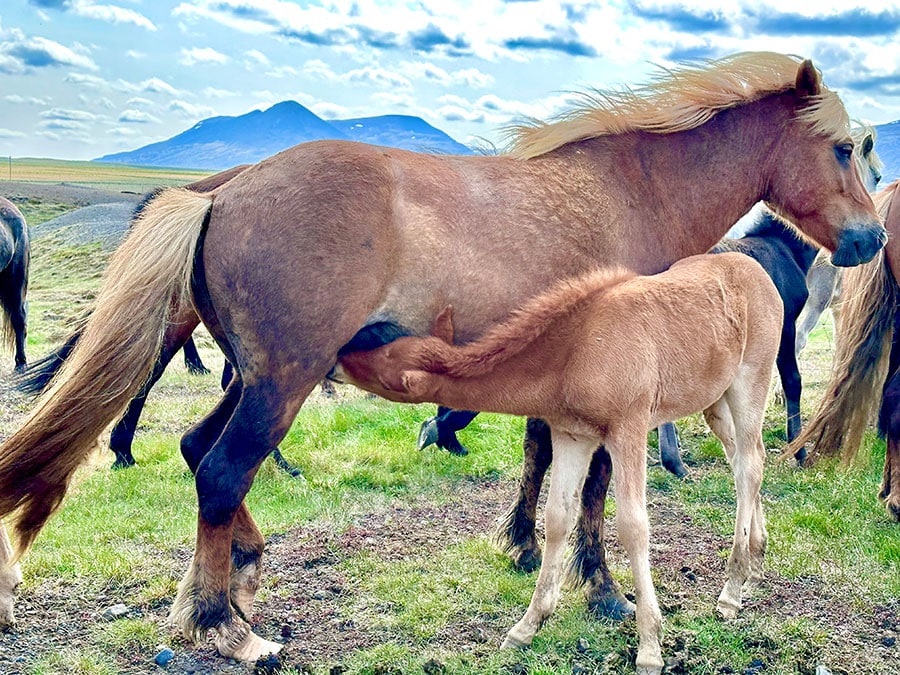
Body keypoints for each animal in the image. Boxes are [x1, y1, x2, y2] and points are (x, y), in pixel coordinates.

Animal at [338, 255, 780, 675]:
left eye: (384, 368)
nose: (342, 355)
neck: (576, 352)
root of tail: (755, 269)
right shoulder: (572, 436)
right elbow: (557, 519)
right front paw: (526, 627)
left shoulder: (629, 430)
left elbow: (633, 526)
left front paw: (650, 648)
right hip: (714, 399)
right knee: (742, 461)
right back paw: (755, 564)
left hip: (750, 383)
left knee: (750, 465)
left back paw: (732, 591)